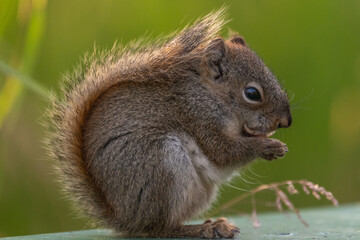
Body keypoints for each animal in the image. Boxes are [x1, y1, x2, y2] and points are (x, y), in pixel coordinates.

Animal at [45, 8, 292, 239]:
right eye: (252, 93)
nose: (286, 121)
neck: (212, 95)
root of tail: (124, 218)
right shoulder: (198, 114)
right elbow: (222, 151)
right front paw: (268, 146)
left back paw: (213, 224)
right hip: (161, 165)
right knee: (161, 228)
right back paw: (201, 229)